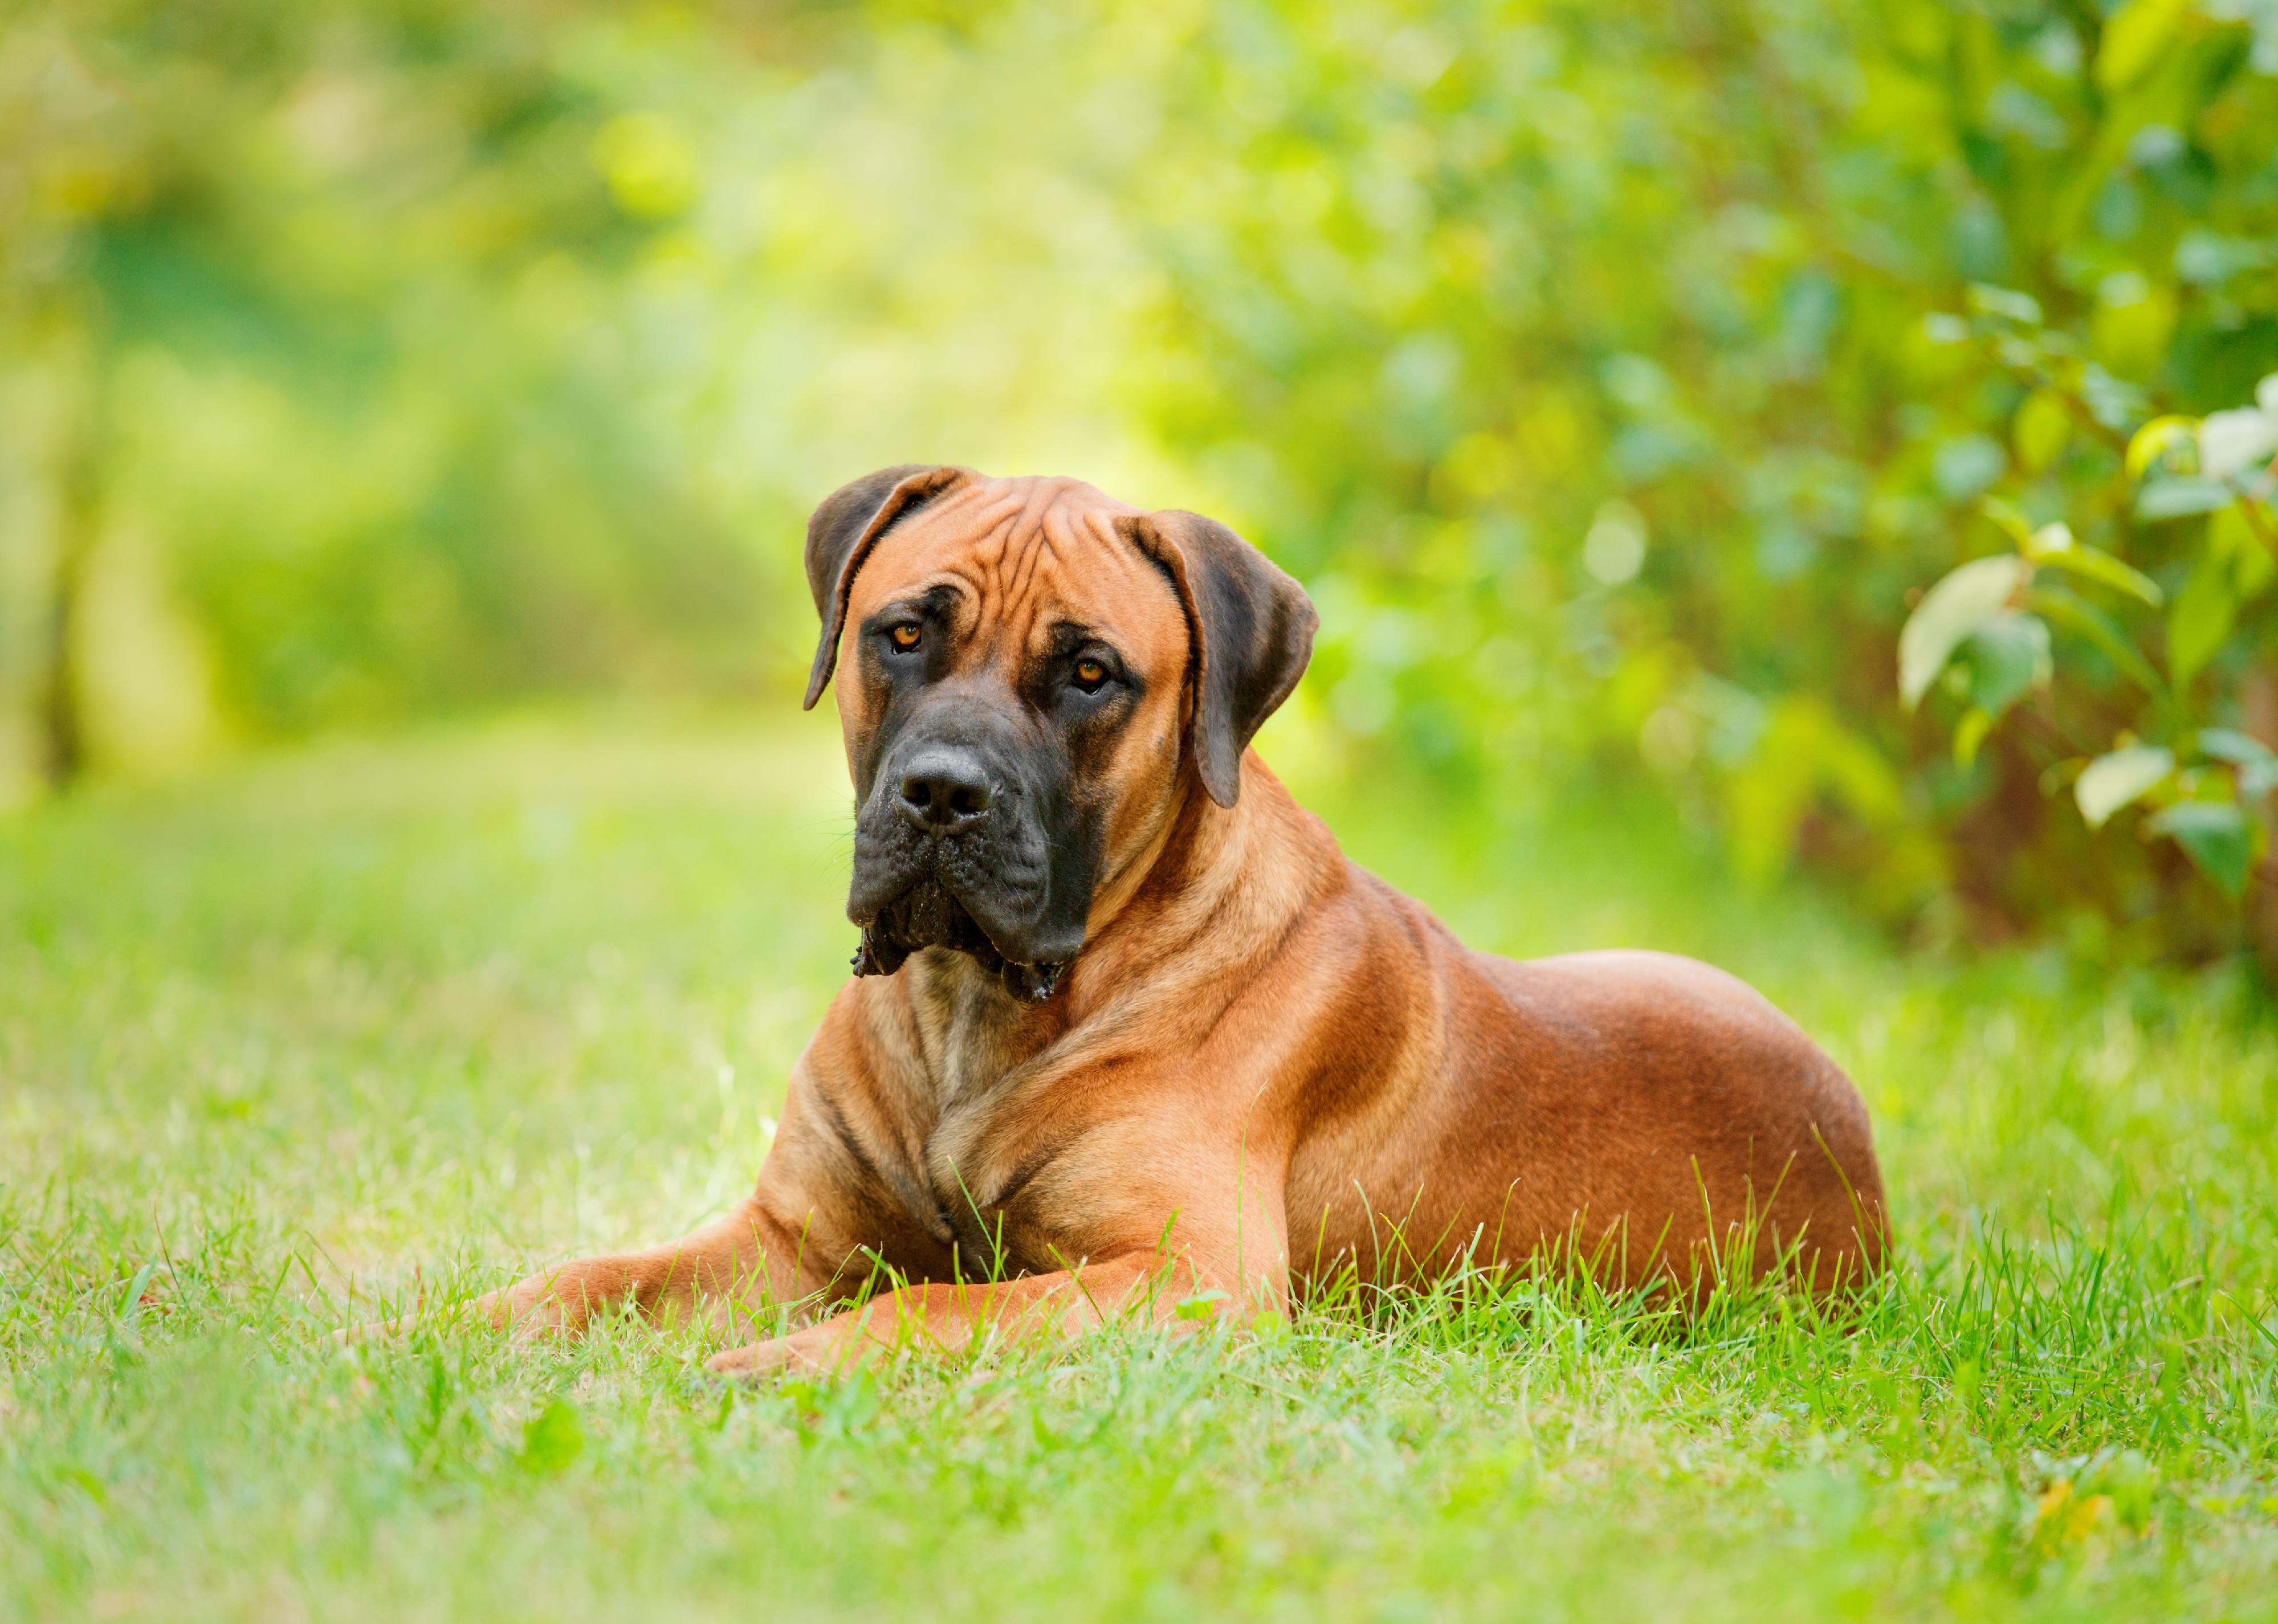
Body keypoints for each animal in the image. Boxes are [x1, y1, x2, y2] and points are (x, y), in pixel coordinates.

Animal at [467, 464, 1886, 1366]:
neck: (974, 1007)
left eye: (1091, 674)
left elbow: (926, 1311)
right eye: (902, 636)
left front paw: (765, 1373)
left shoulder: (1186, 1277)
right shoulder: (795, 1237)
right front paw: (440, 1334)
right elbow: (588, 1279)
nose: (942, 796)